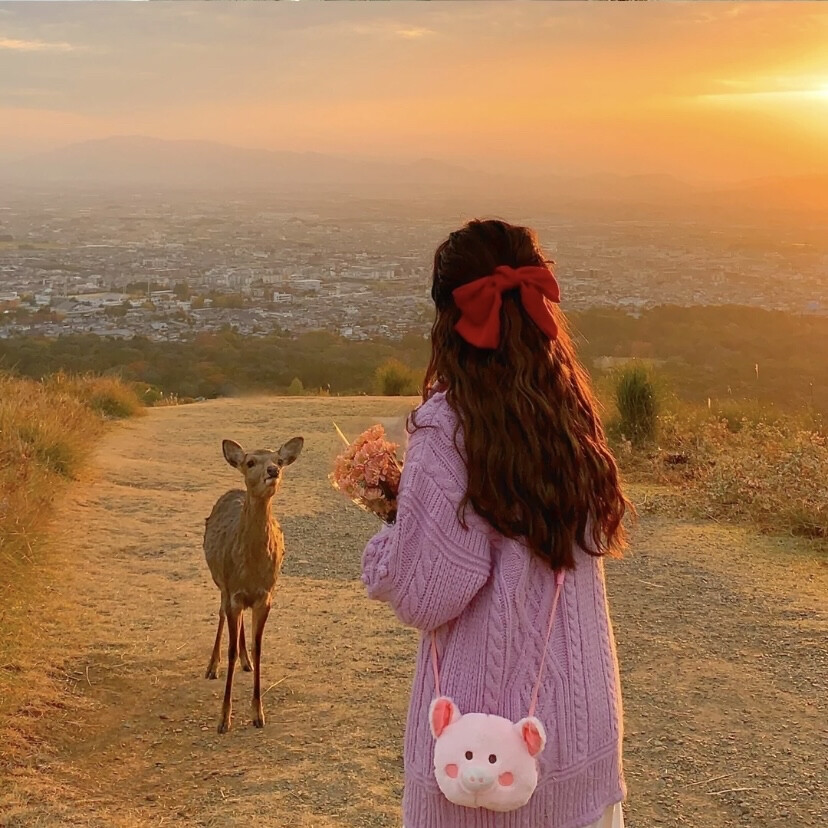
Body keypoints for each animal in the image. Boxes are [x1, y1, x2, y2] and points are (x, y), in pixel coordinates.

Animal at [204, 436, 304, 736]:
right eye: (250, 462)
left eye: (279, 460)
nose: (273, 470)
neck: (250, 569)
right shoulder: (233, 592)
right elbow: (230, 650)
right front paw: (224, 719)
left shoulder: (265, 596)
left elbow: (259, 648)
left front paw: (258, 714)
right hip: (220, 583)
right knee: (221, 615)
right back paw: (211, 667)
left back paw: (245, 662)